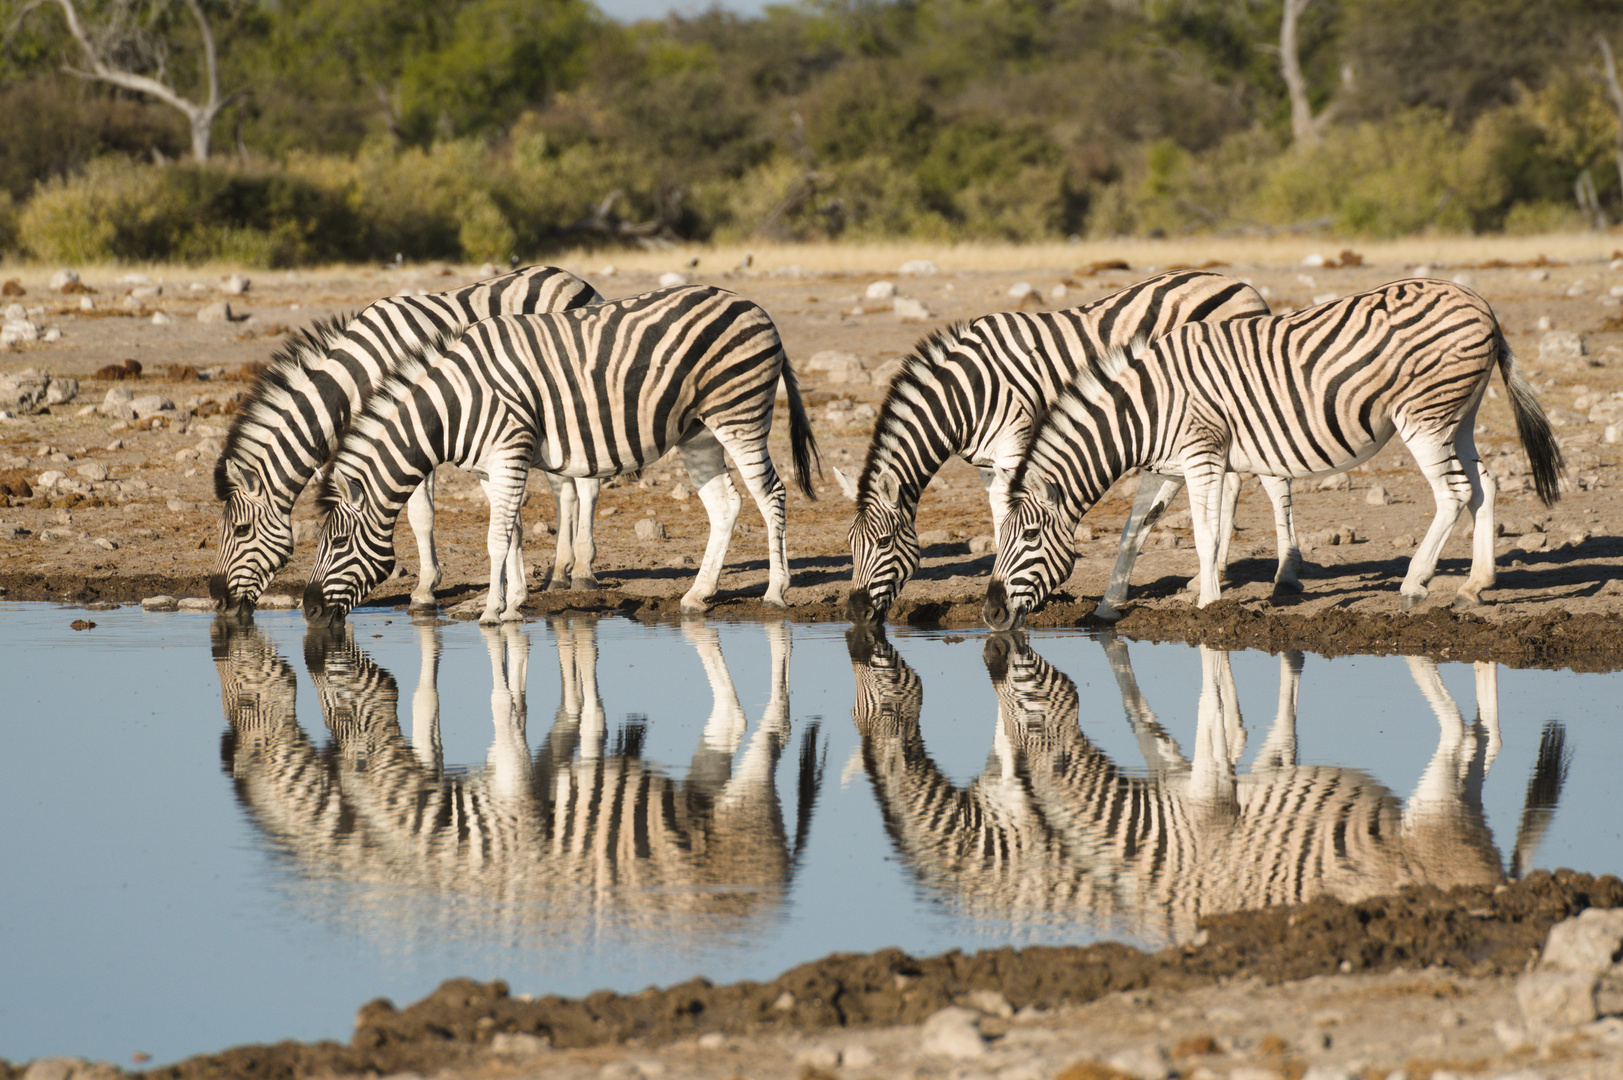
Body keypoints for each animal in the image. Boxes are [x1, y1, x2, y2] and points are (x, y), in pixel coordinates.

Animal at [209, 263, 603, 613]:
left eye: (241, 530)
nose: (218, 600)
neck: (359, 372)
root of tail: (569, 275)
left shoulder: (412, 423)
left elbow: (421, 514)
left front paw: (425, 590)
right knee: (564, 488)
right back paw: (559, 572)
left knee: (587, 486)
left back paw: (583, 570)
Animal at [301, 282, 824, 626]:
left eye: (338, 543)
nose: (307, 608)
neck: (455, 405)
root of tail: (755, 306)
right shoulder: (491, 467)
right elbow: (510, 534)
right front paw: (513, 604)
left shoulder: (510, 451)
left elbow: (496, 539)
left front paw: (491, 610)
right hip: (698, 431)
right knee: (726, 505)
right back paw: (698, 595)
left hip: (740, 413)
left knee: (772, 495)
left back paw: (776, 592)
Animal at [837, 269, 1304, 623]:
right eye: (850, 545)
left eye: (882, 543)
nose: (855, 613)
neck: (968, 392)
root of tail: (1239, 282)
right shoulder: (986, 463)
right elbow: (1000, 518)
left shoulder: (1015, 445)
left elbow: (1009, 515)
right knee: (1232, 482)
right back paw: (1215, 572)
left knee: (1275, 482)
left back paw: (1285, 577)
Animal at [980, 279, 1564, 633]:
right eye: (1000, 538)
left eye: (1027, 538)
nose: (988, 613)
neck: (1145, 409)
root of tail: (1479, 302)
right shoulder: (1164, 468)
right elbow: (1132, 533)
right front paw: (1106, 608)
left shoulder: (1201, 453)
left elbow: (1205, 534)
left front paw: (1207, 605)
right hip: (1457, 415)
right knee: (1485, 483)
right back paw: (1474, 586)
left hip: (1423, 415)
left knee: (1454, 492)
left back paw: (1414, 585)